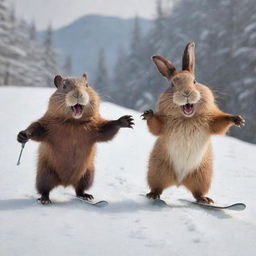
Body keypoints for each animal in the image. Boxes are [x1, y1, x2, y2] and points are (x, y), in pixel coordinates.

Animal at [17, 73, 134, 204]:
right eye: (64, 86)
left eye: (87, 85)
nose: (78, 94)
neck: (74, 122)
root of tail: (65, 183)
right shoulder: (48, 123)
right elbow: (37, 128)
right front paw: (23, 135)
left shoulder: (94, 127)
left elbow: (105, 131)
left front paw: (126, 120)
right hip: (45, 173)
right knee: (44, 189)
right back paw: (45, 199)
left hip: (88, 174)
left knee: (79, 189)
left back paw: (86, 196)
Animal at [141, 42, 245, 203]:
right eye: (172, 84)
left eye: (194, 81)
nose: (186, 93)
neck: (187, 119)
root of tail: (179, 181)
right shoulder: (163, 124)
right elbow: (155, 126)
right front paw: (148, 114)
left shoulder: (211, 121)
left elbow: (221, 122)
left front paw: (237, 119)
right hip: (157, 170)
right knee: (157, 187)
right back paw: (153, 195)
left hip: (202, 176)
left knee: (197, 193)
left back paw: (205, 200)